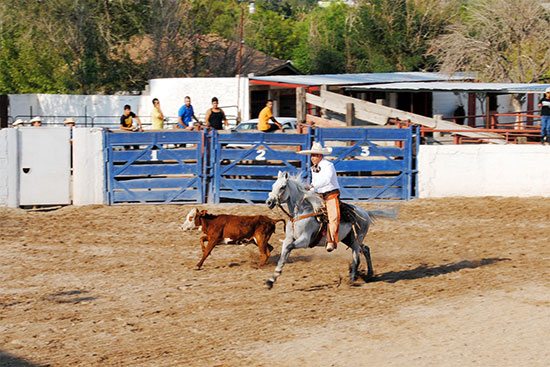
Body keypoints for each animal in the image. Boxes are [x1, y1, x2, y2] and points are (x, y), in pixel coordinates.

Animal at [266, 172, 394, 290]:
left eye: (282, 187)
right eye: (273, 185)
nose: (269, 202)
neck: (300, 213)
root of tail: (365, 212)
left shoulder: (304, 240)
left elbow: (288, 249)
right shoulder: (288, 239)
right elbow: (283, 256)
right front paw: (271, 280)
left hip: (356, 239)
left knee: (356, 257)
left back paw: (352, 279)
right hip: (348, 239)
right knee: (366, 249)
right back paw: (369, 274)